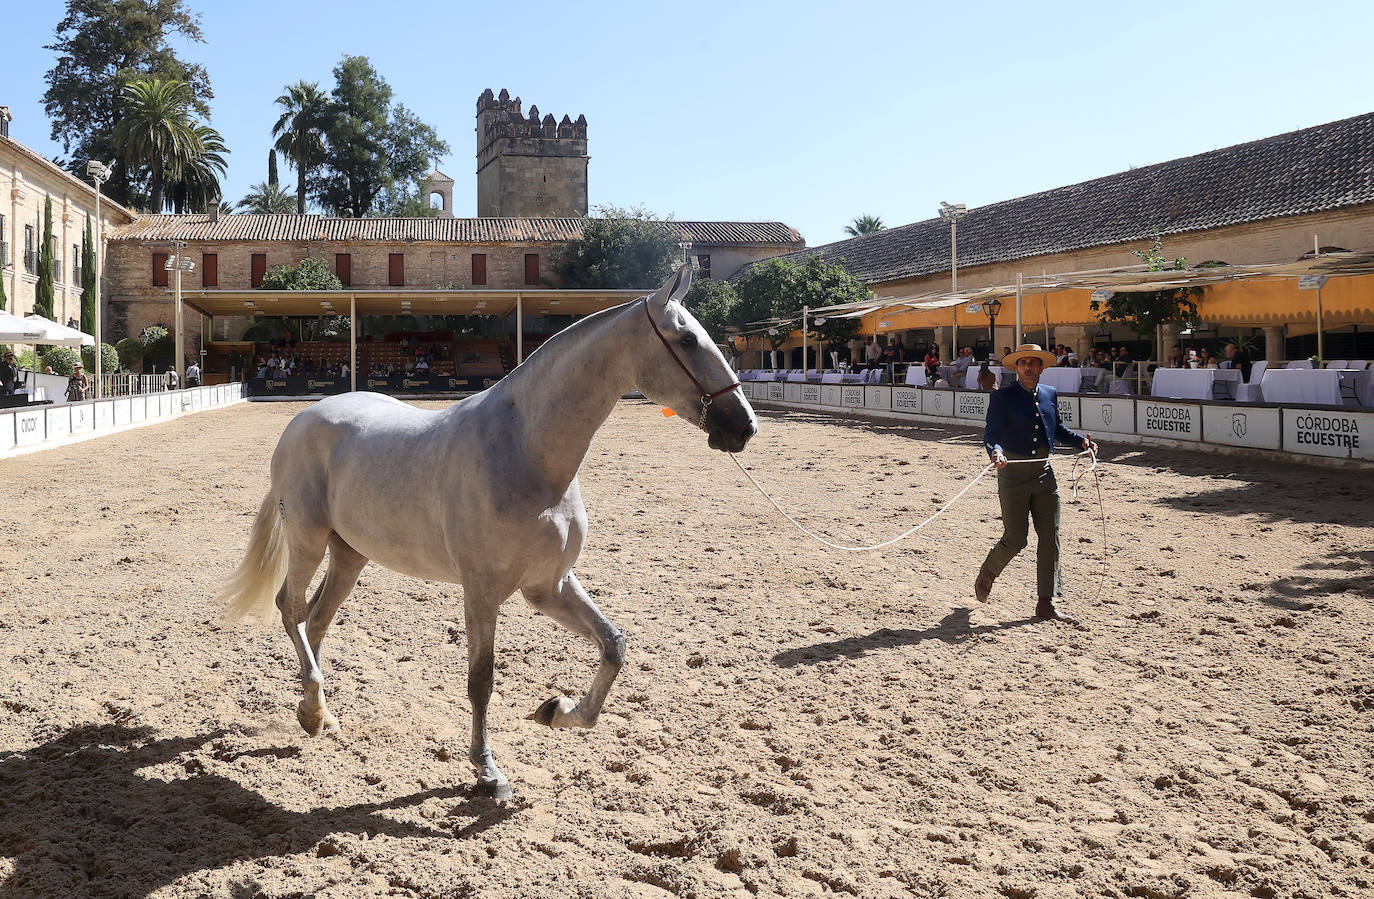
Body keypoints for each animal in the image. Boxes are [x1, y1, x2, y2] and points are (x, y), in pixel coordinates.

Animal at [217, 265, 756, 799]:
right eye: (686, 339)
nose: (744, 426)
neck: (524, 450)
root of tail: (301, 420)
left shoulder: (548, 586)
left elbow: (613, 646)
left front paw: (556, 711)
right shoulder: (482, 589)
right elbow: (481, 679)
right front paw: (488, 771)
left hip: (350, 554)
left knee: (316, 621)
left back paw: (318, 714)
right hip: (308, 539)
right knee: (291, 609)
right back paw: (312, 707)